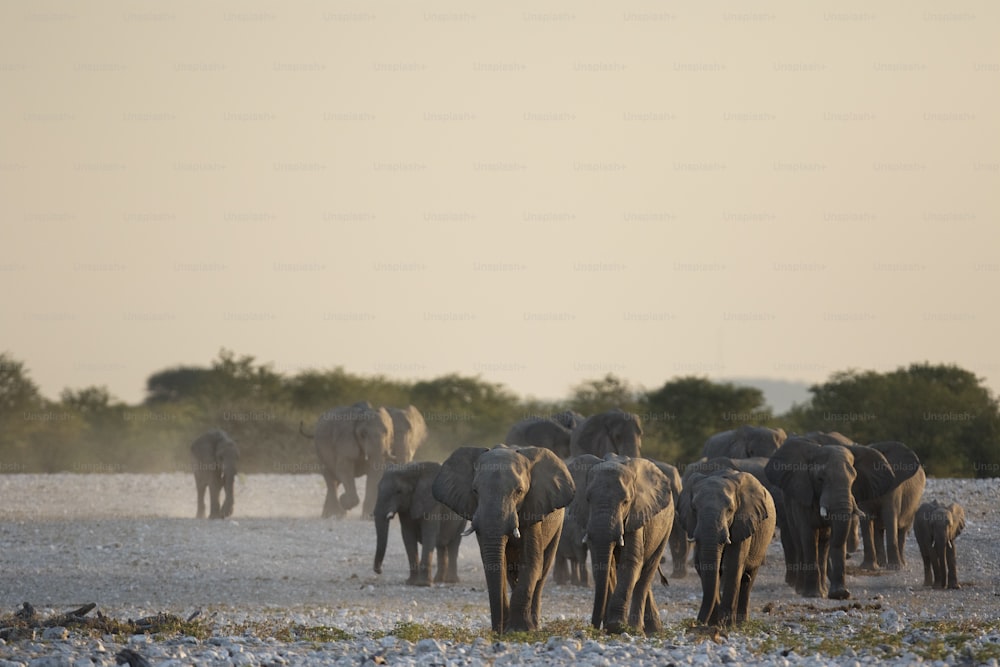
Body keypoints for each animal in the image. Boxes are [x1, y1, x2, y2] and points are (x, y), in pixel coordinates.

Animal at [432, 446, 580, 636]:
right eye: (475, 491)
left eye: (519, 491)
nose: (496, 631)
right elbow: (496, 565)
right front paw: (507, 629)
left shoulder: (533, 509)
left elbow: (532, 562)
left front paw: (519, 630)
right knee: (511, 573)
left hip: (558, 526)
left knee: (542, 572)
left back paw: (534, 625)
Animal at [568, 452, 676, 636]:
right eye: (588, 499)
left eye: (625, 502)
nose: (593, 627)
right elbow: (602, 564)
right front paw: (610, 626)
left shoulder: (636, 514)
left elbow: (630, 562)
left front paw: (616, 627)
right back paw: (651, 629)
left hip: (667, 526)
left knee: (645, 574)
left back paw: (642, 630)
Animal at [676, 470, 776, 628]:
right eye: (694, 509)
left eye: (730, 510)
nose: (695, 623)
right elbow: (703, 566)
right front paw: (714, 623)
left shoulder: (742, 522)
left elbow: (733, 565)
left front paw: (726, 625)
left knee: (749, 578)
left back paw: (741, 623)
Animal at [760, 438, 896, 600]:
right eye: (820, 479)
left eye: (854, 479)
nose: (842, 593)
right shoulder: (802, 494)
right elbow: (808, 536)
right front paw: (812, 594)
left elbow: (829, 537)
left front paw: (838, 594)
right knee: (799, 541)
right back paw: (800, 589)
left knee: (822, 542)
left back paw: (823, 589)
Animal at [856, 440, 924, 572]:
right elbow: (866, 518)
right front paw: (867, 568)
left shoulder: (894, 486)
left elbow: (890, 515)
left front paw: (894, 568)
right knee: (878, 530)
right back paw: (881, 564)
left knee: (902, 530)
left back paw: (902, 564)